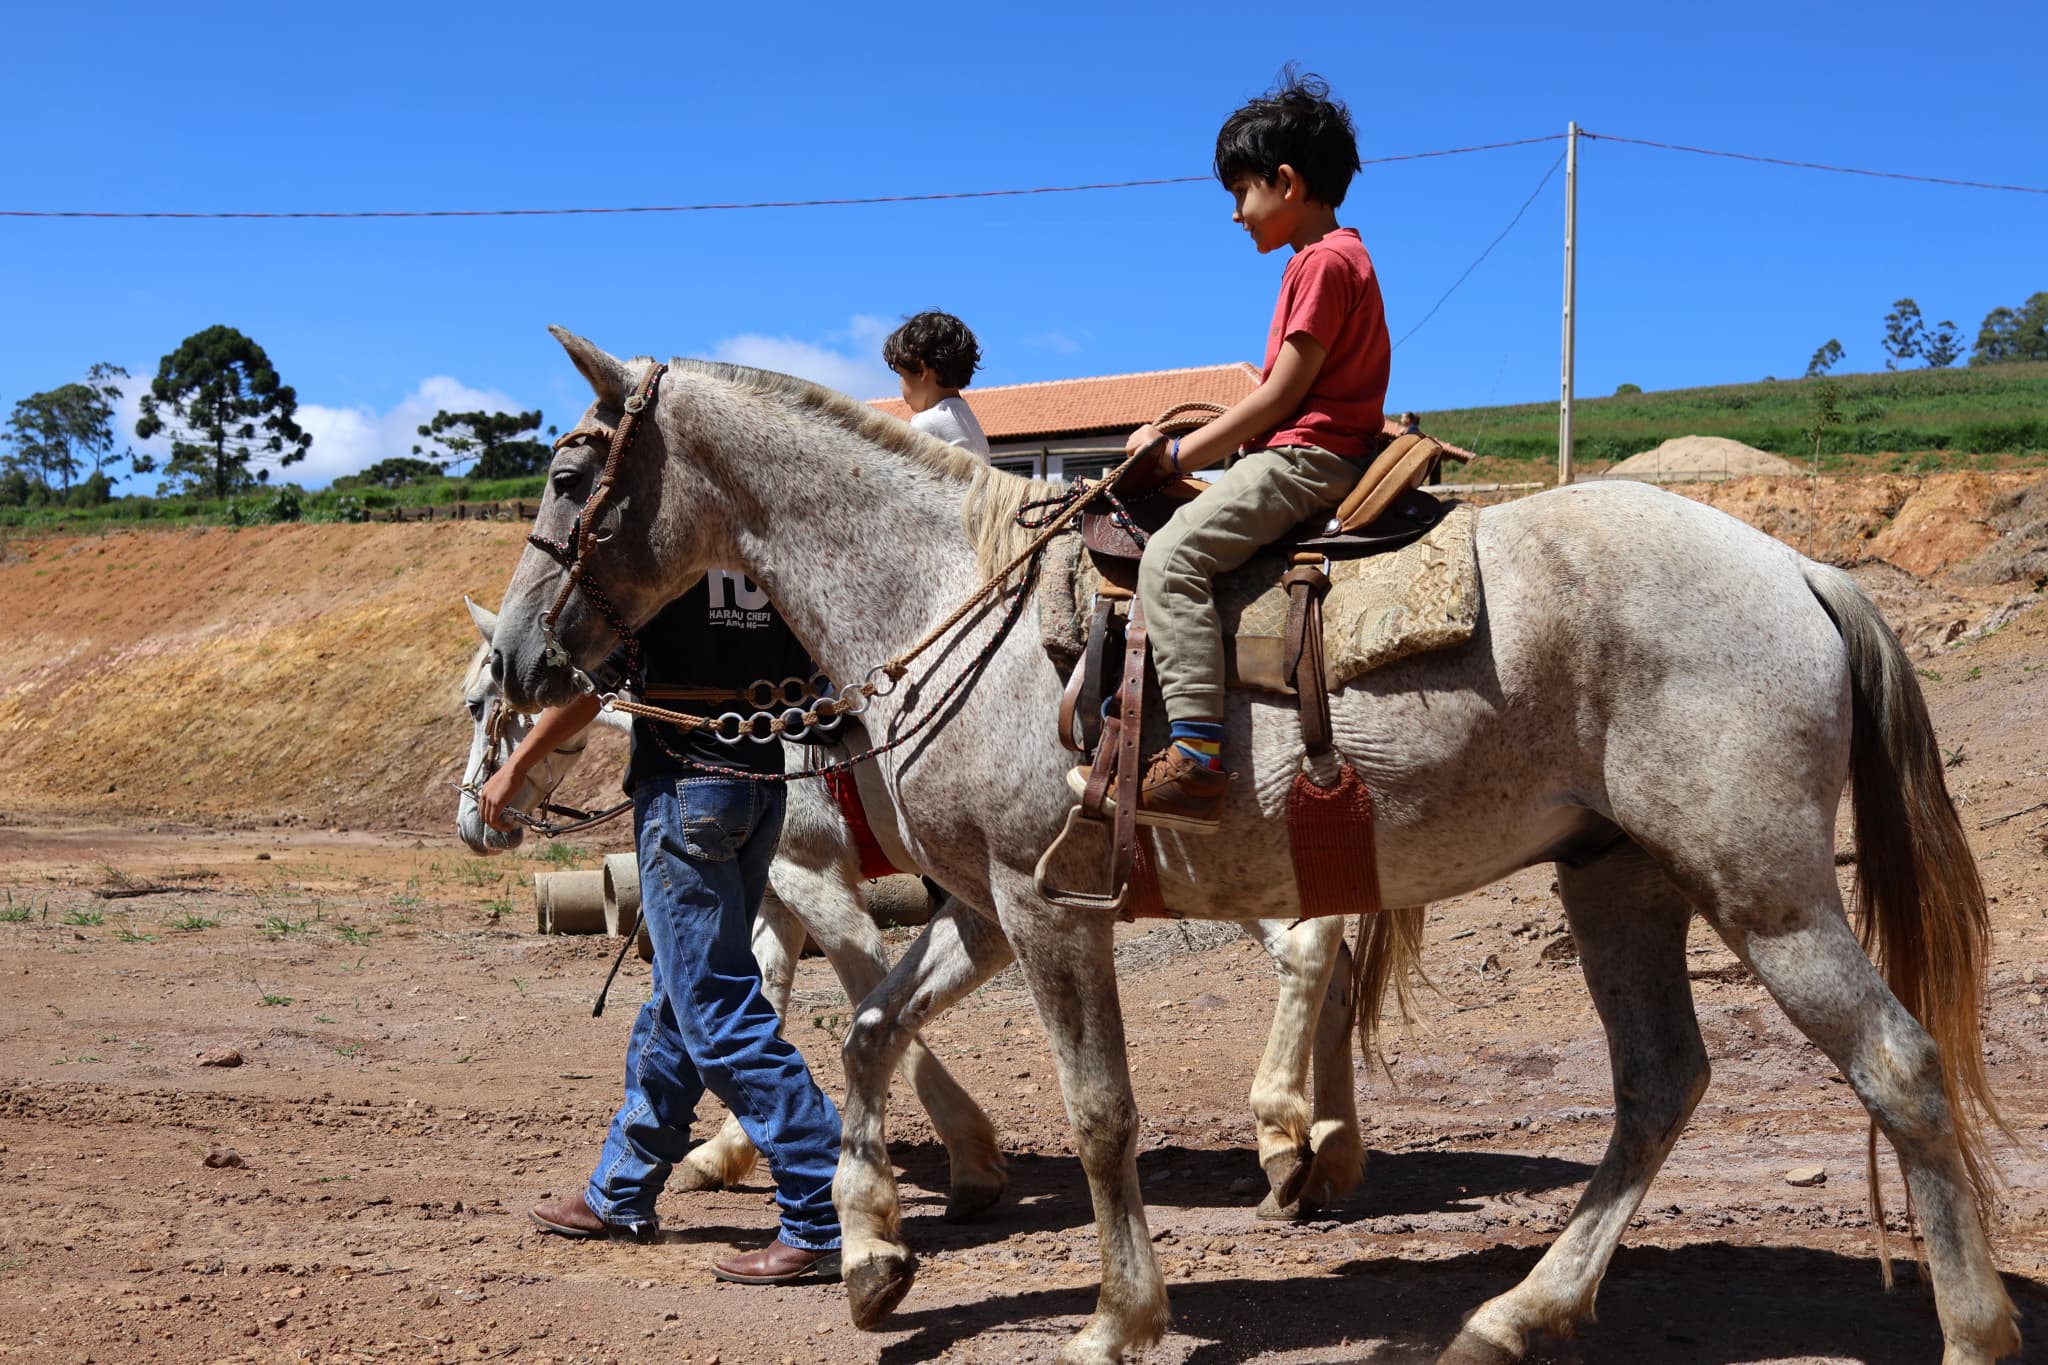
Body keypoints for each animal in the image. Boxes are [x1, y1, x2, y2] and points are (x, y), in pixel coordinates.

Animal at [454, 598, 1371, 1220]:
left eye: (477, 700)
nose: (476, 817)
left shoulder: (814, 875)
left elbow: (863, 987)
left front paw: (971, 1159)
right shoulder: (777, 888)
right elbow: (769, 997)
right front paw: (725, 1149)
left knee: (1312, 943)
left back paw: (1282, 1134)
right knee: (1339, 963)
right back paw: (1330, 1153)